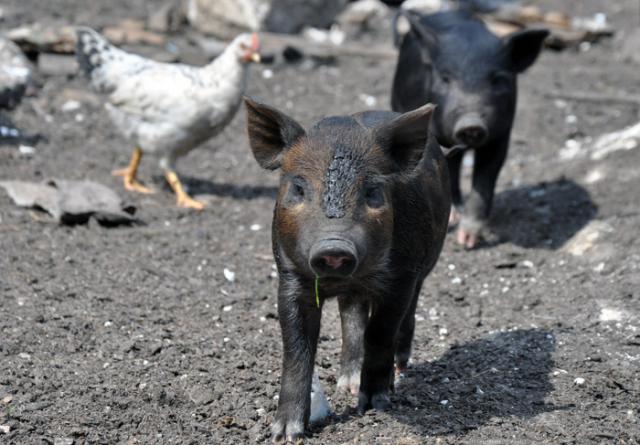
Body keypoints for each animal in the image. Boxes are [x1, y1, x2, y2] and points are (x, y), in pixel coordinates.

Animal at [245, 97, 450, 440]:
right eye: (298, 188)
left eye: (373, 191)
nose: (334, 248)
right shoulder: (290, 277)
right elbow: (297, 349)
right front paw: (285, 434)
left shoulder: (400, 278)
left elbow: (380, 333)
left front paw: (374, 404)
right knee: (351, 317)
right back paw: (348, 385)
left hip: (425, 266)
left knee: (403, 317)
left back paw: (396, 371)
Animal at [392, 10, 548, 248]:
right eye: (445, 78)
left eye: (497, 79)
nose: (471, 123)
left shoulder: (500, 136)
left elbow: (485, 179)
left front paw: (467, 241)